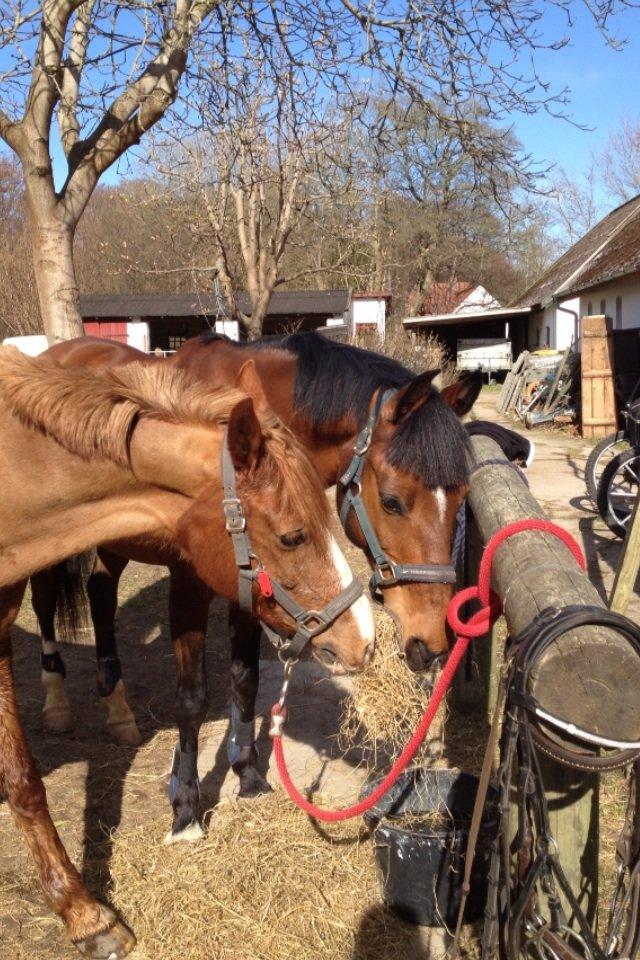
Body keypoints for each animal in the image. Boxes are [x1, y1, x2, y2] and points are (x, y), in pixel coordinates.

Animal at [0, 348, 372, 956]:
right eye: (293, 536)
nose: (365, 639)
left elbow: (23, 780)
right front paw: (184, 818)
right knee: (54, 601)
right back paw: (59, 701)